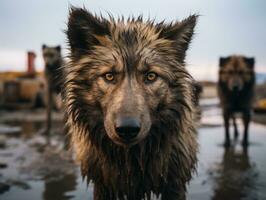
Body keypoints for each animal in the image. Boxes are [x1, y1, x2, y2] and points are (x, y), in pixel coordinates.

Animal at [62, 7, 198, 199]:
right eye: (109, 76)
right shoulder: (103, 184)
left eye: (151, 76)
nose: (127, 129)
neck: (131, 159)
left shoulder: (175, 184)